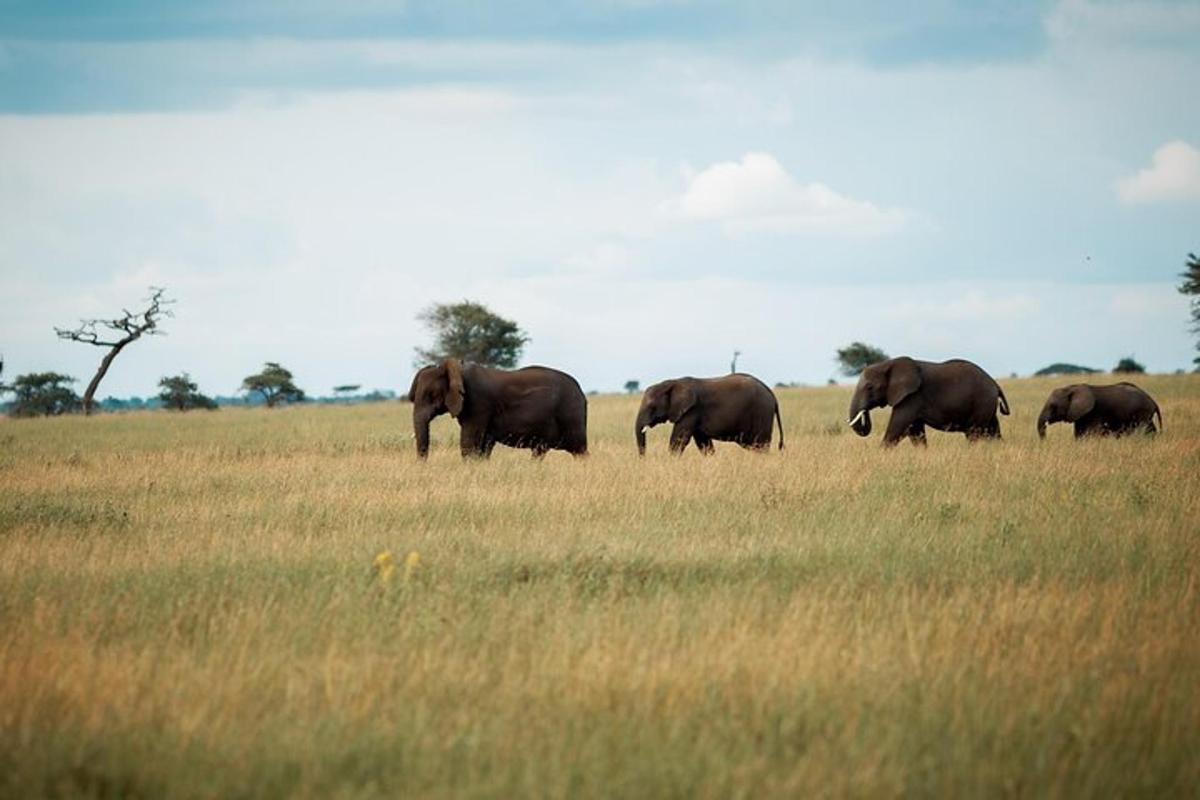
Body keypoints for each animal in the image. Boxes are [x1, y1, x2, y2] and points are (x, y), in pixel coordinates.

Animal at [405, 359, 588, 460]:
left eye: (432, 395)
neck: (456, 369)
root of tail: (580, 390)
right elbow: (484, 445)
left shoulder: (478, 403)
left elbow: (468, 442)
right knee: (540, 450)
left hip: (571, 412)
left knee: (579, 450)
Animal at [633, 371, 782, 453]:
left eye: (652, 406)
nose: (643, 459)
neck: (673, 382)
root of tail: (772, 394)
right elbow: (703, 443)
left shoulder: (691, 410)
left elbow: (679, 440)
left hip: (762, 412)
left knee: (760, 445)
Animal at [844, 355, 1012, 443]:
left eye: (869, 387)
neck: (889, 363)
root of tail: (995, 384)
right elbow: (914, 431)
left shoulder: (912, 396)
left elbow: (898, 427)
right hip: (987, 405)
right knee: (993, 431)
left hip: (981, 403)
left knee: (974, 434)